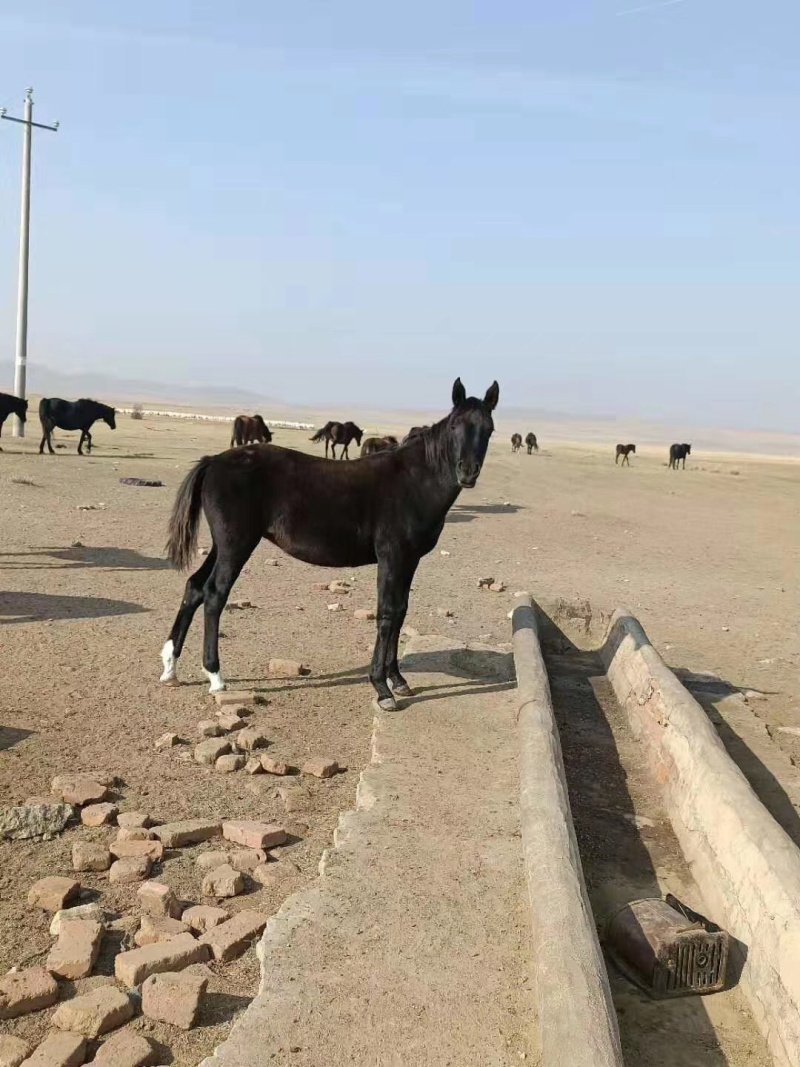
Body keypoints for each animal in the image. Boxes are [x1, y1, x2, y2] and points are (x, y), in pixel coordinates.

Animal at [160, 377, 499, 710]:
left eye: (489, 428)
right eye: (454, 425)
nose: (467, 472)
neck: (413, 481)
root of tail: (213, 461)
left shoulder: (409, 560)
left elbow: (401, 611)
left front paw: (398, 680)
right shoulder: (392, 556)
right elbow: (387, 613)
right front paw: (382, 688)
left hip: (222, 546)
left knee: (194, 587)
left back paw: (170, 668)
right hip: (236, 545)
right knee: (214, 594)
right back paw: (215, 675)